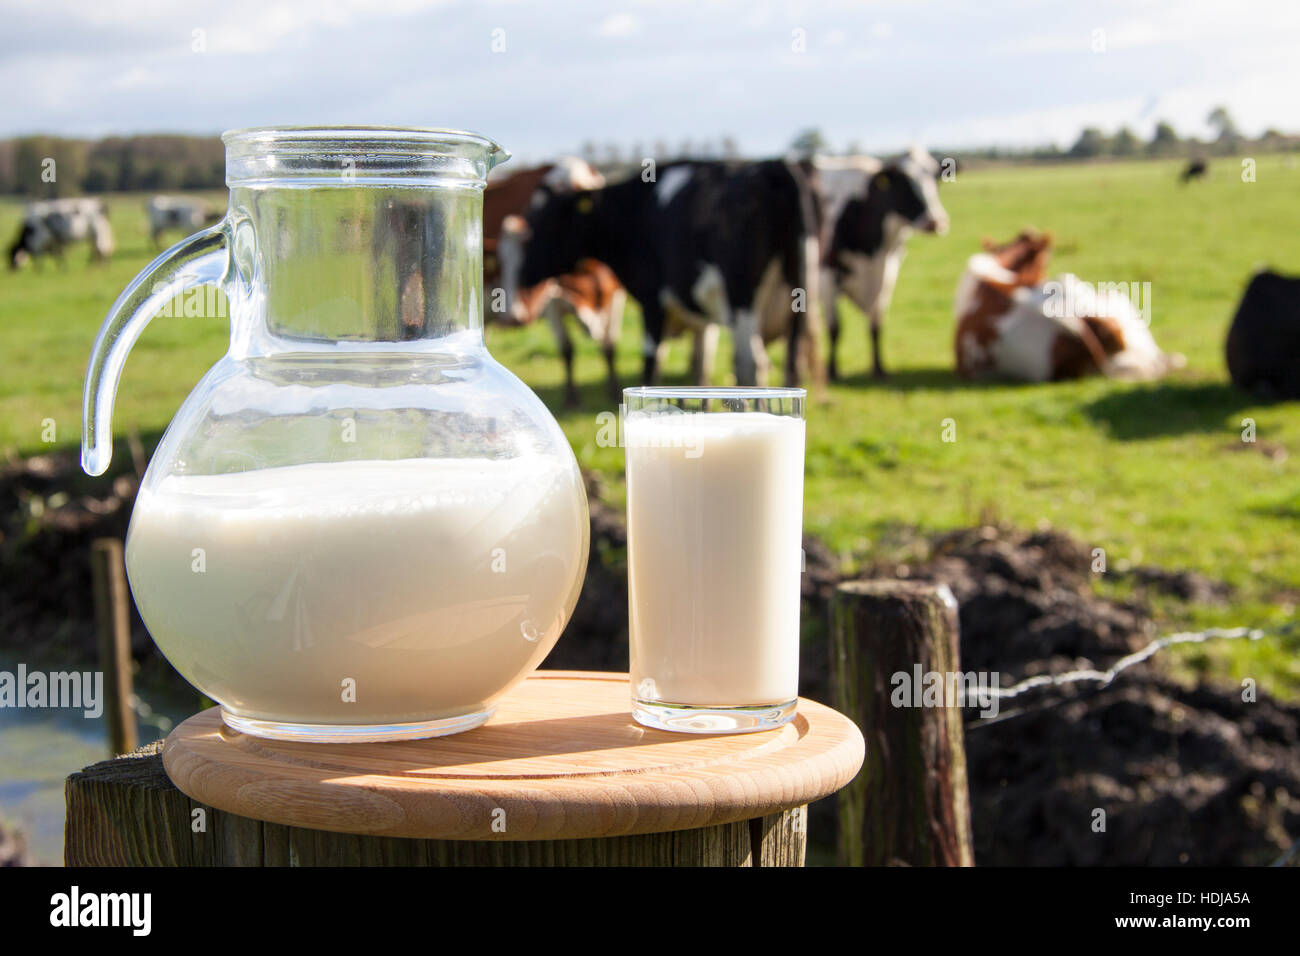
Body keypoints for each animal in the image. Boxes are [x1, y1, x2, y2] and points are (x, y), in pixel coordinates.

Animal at [499, 160, 821, 390]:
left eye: (547, 222)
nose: (525, 274)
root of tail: (774, 166)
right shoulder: (702, 315)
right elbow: (700, 371)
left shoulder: (652, 300)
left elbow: (651, 363)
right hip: (798, 295)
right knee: (790, 365)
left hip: (742, 295)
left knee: (752, 365)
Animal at [816, 145, 951, 377]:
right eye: (904, 182)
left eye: (936, 178)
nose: (935, 222)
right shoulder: (827, 276)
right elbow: (835, 329)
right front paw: (833, 372)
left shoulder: (886, 274)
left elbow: (876, 324)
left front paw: (879, 368)